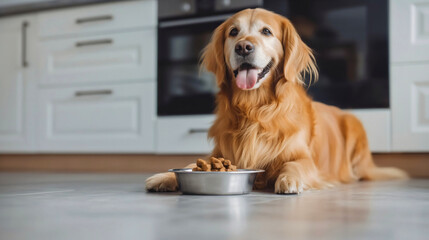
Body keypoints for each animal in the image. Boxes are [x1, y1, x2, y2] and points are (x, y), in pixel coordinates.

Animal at [145, 8, 406, 194]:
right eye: (233, 32)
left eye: (266, 31)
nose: (243, 47)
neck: (254, 109)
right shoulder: (221, 154)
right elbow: (192, 163)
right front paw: (164, 176)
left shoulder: (304, 158)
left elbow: (294, 164)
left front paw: (289, 179)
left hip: (354, 124)